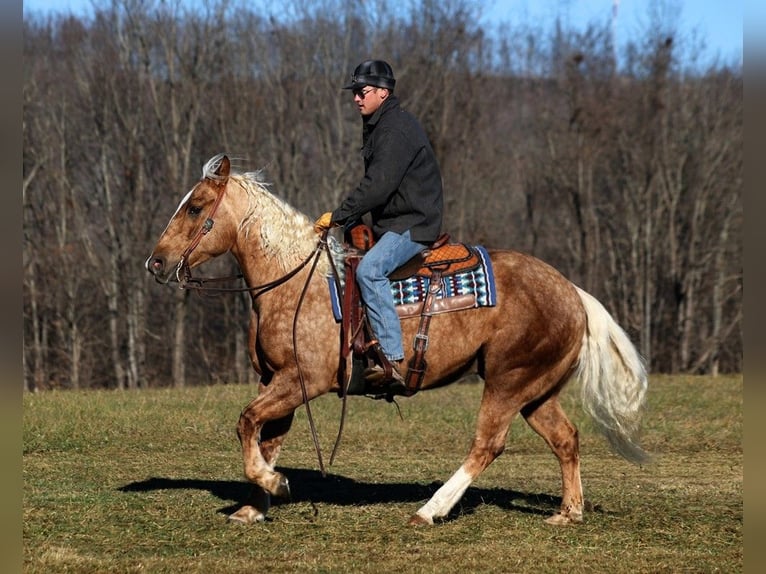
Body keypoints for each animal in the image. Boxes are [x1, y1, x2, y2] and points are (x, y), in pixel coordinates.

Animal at [145, 153, 649, 526]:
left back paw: (430, 510)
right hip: (535, 390)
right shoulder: (277, 382)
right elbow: (264, 438)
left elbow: (247, 423)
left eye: (195, 207)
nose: (156, 262)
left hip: (508, 383)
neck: (293, 280)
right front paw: (255, 505)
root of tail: (572, 292)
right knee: (566, 438)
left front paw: (276, 484)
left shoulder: (301, 380)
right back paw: (569, 512)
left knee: (487, 445)